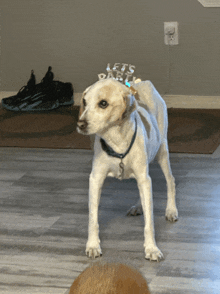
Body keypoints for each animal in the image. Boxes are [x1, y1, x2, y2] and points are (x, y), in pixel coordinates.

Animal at [76, 78, 178, 262]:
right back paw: (138, 206)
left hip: (162, 151)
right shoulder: (96, 179)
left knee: (170, 180)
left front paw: (151, 248)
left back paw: (171, 210)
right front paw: (93, 245)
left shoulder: (144, 178)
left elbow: (149, 222)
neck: (117, 142)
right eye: (85, 102)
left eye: (103, 103)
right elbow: (93, 219)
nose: (80, 124)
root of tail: (144, 83)